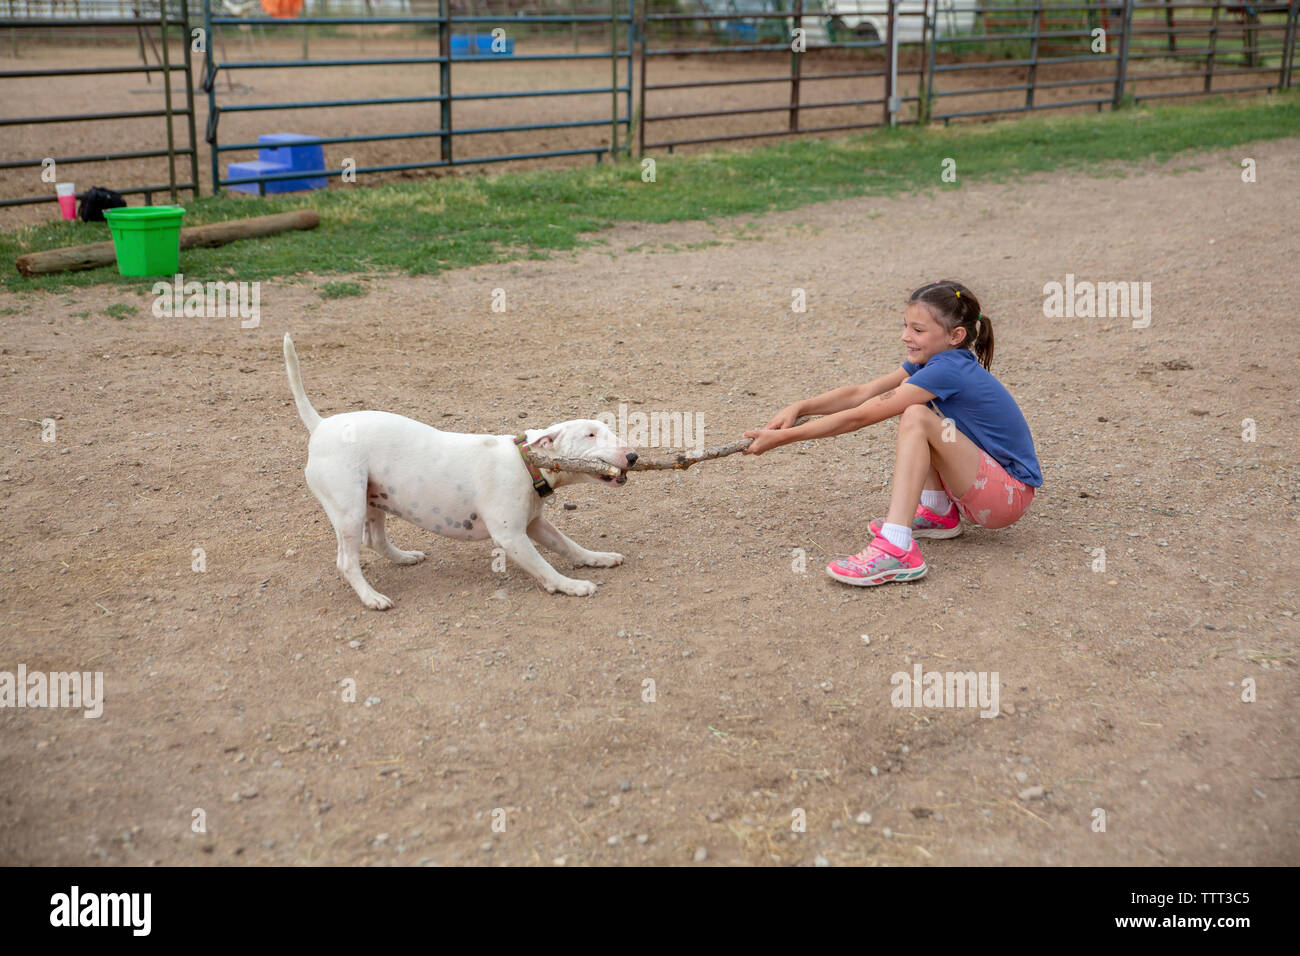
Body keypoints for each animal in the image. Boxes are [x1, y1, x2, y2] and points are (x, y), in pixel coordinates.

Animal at [282, 332, 637, 608]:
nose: (633, 455)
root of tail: (321, 425)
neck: (526, 463)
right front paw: (571, 585)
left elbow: (568, 545)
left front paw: (599, 558)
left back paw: (404, 558)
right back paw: (372, 597)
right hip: (349, 510)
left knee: (376, 541)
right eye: (590, 435)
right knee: (347, 561)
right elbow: (545, 567)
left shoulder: (535, 524)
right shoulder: (511, 536)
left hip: (374, 499)